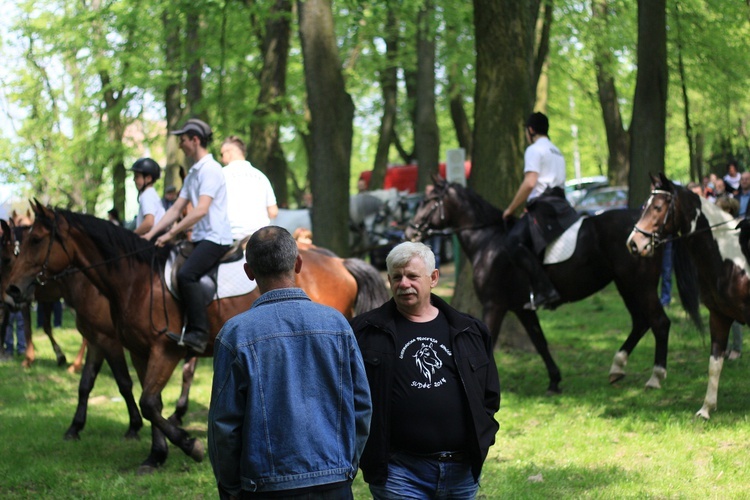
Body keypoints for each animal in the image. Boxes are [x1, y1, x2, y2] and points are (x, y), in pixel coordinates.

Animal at [1, 201, 388, 470]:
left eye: (36, 240)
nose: (13, 290)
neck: (136, 280)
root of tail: (340, 262)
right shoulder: (138, 350)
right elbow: (146, 401)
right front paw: (155, 455)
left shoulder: (164, 349)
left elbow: (147, 401)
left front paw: (189, 446)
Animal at [402, 180, 704, 394]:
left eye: (429, 201)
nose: (410, 231)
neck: (487, 241)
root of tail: (650, 234)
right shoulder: (523, 308)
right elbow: (540, 342)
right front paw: (555, 380)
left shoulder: (494, 305)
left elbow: (491, 342)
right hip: (625, 285)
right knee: (641, 322)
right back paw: (617, 367)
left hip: (638, 284)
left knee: (659, 322)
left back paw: (656, 377)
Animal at [628, 172, 748, 418]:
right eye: (645, 206)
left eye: (657, 207)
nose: (634, 243)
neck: (732, 259)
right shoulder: (719, 317)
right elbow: (714, 365)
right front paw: (706, 409)